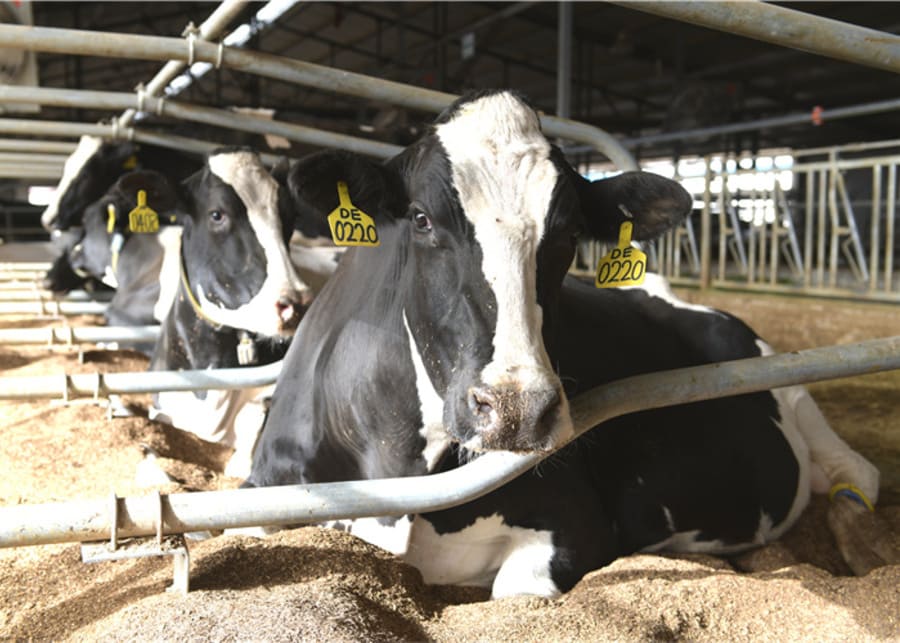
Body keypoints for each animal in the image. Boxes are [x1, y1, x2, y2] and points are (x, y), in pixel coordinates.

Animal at [244, 90, 886, 597]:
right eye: (422, 219)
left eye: (571, 232)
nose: (517, 408)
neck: (398, 463)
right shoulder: (264, 490)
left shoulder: (578, 524)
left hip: (795, 391)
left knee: (858, 479)